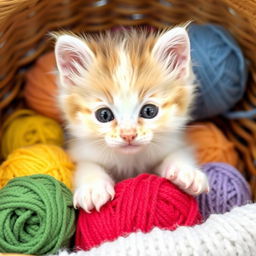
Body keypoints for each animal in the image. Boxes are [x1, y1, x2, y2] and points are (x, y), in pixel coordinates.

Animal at [53, 27, 208, 213]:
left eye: (149, 111)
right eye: (104, 115)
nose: (128, 135)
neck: (130, 160)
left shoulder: (173, 143)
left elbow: (178, 154)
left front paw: (186, 172)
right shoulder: (81, 151)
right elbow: (87, 165)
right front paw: (92, 187)